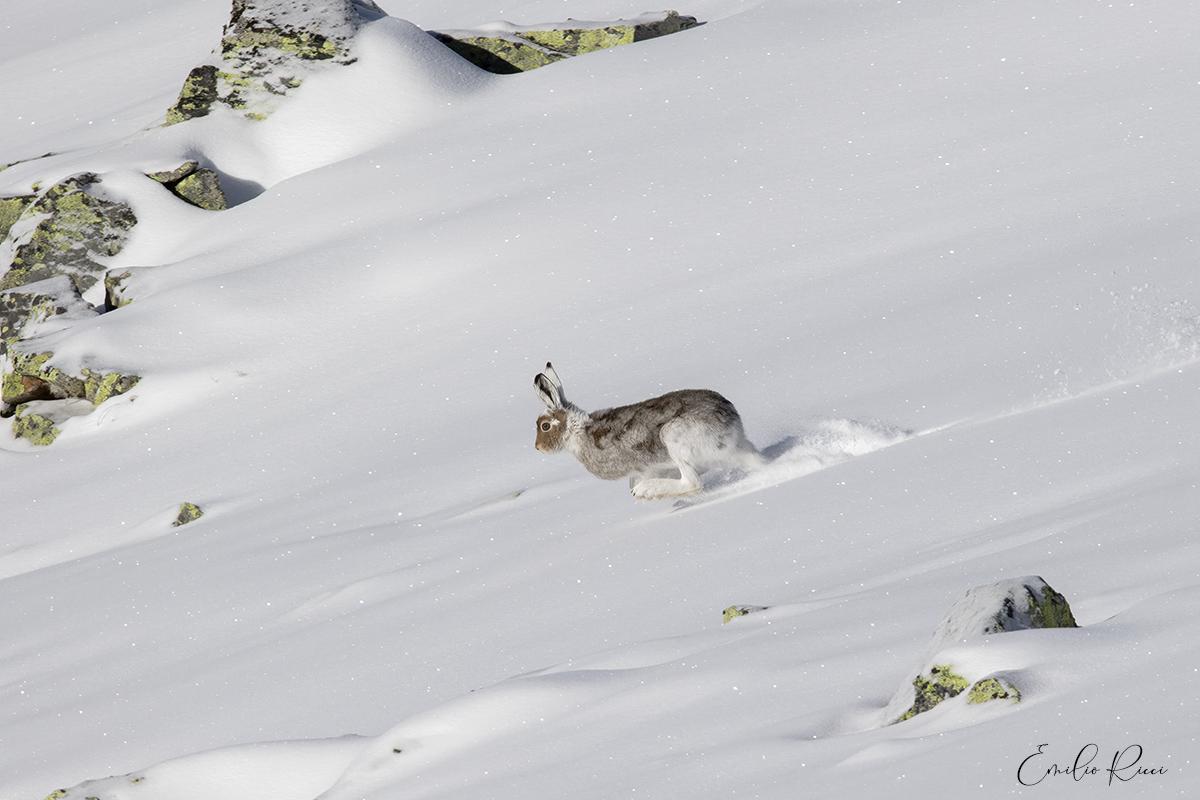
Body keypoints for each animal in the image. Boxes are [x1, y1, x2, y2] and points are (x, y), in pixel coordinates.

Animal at [533, 362, 764, 499]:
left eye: (545, 426)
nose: (538, 448)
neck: (576, 430)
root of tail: (731, 425)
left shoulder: (643, 467)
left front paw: (642, 488)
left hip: (673, 436)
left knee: (693, 482)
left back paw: (647, 491)